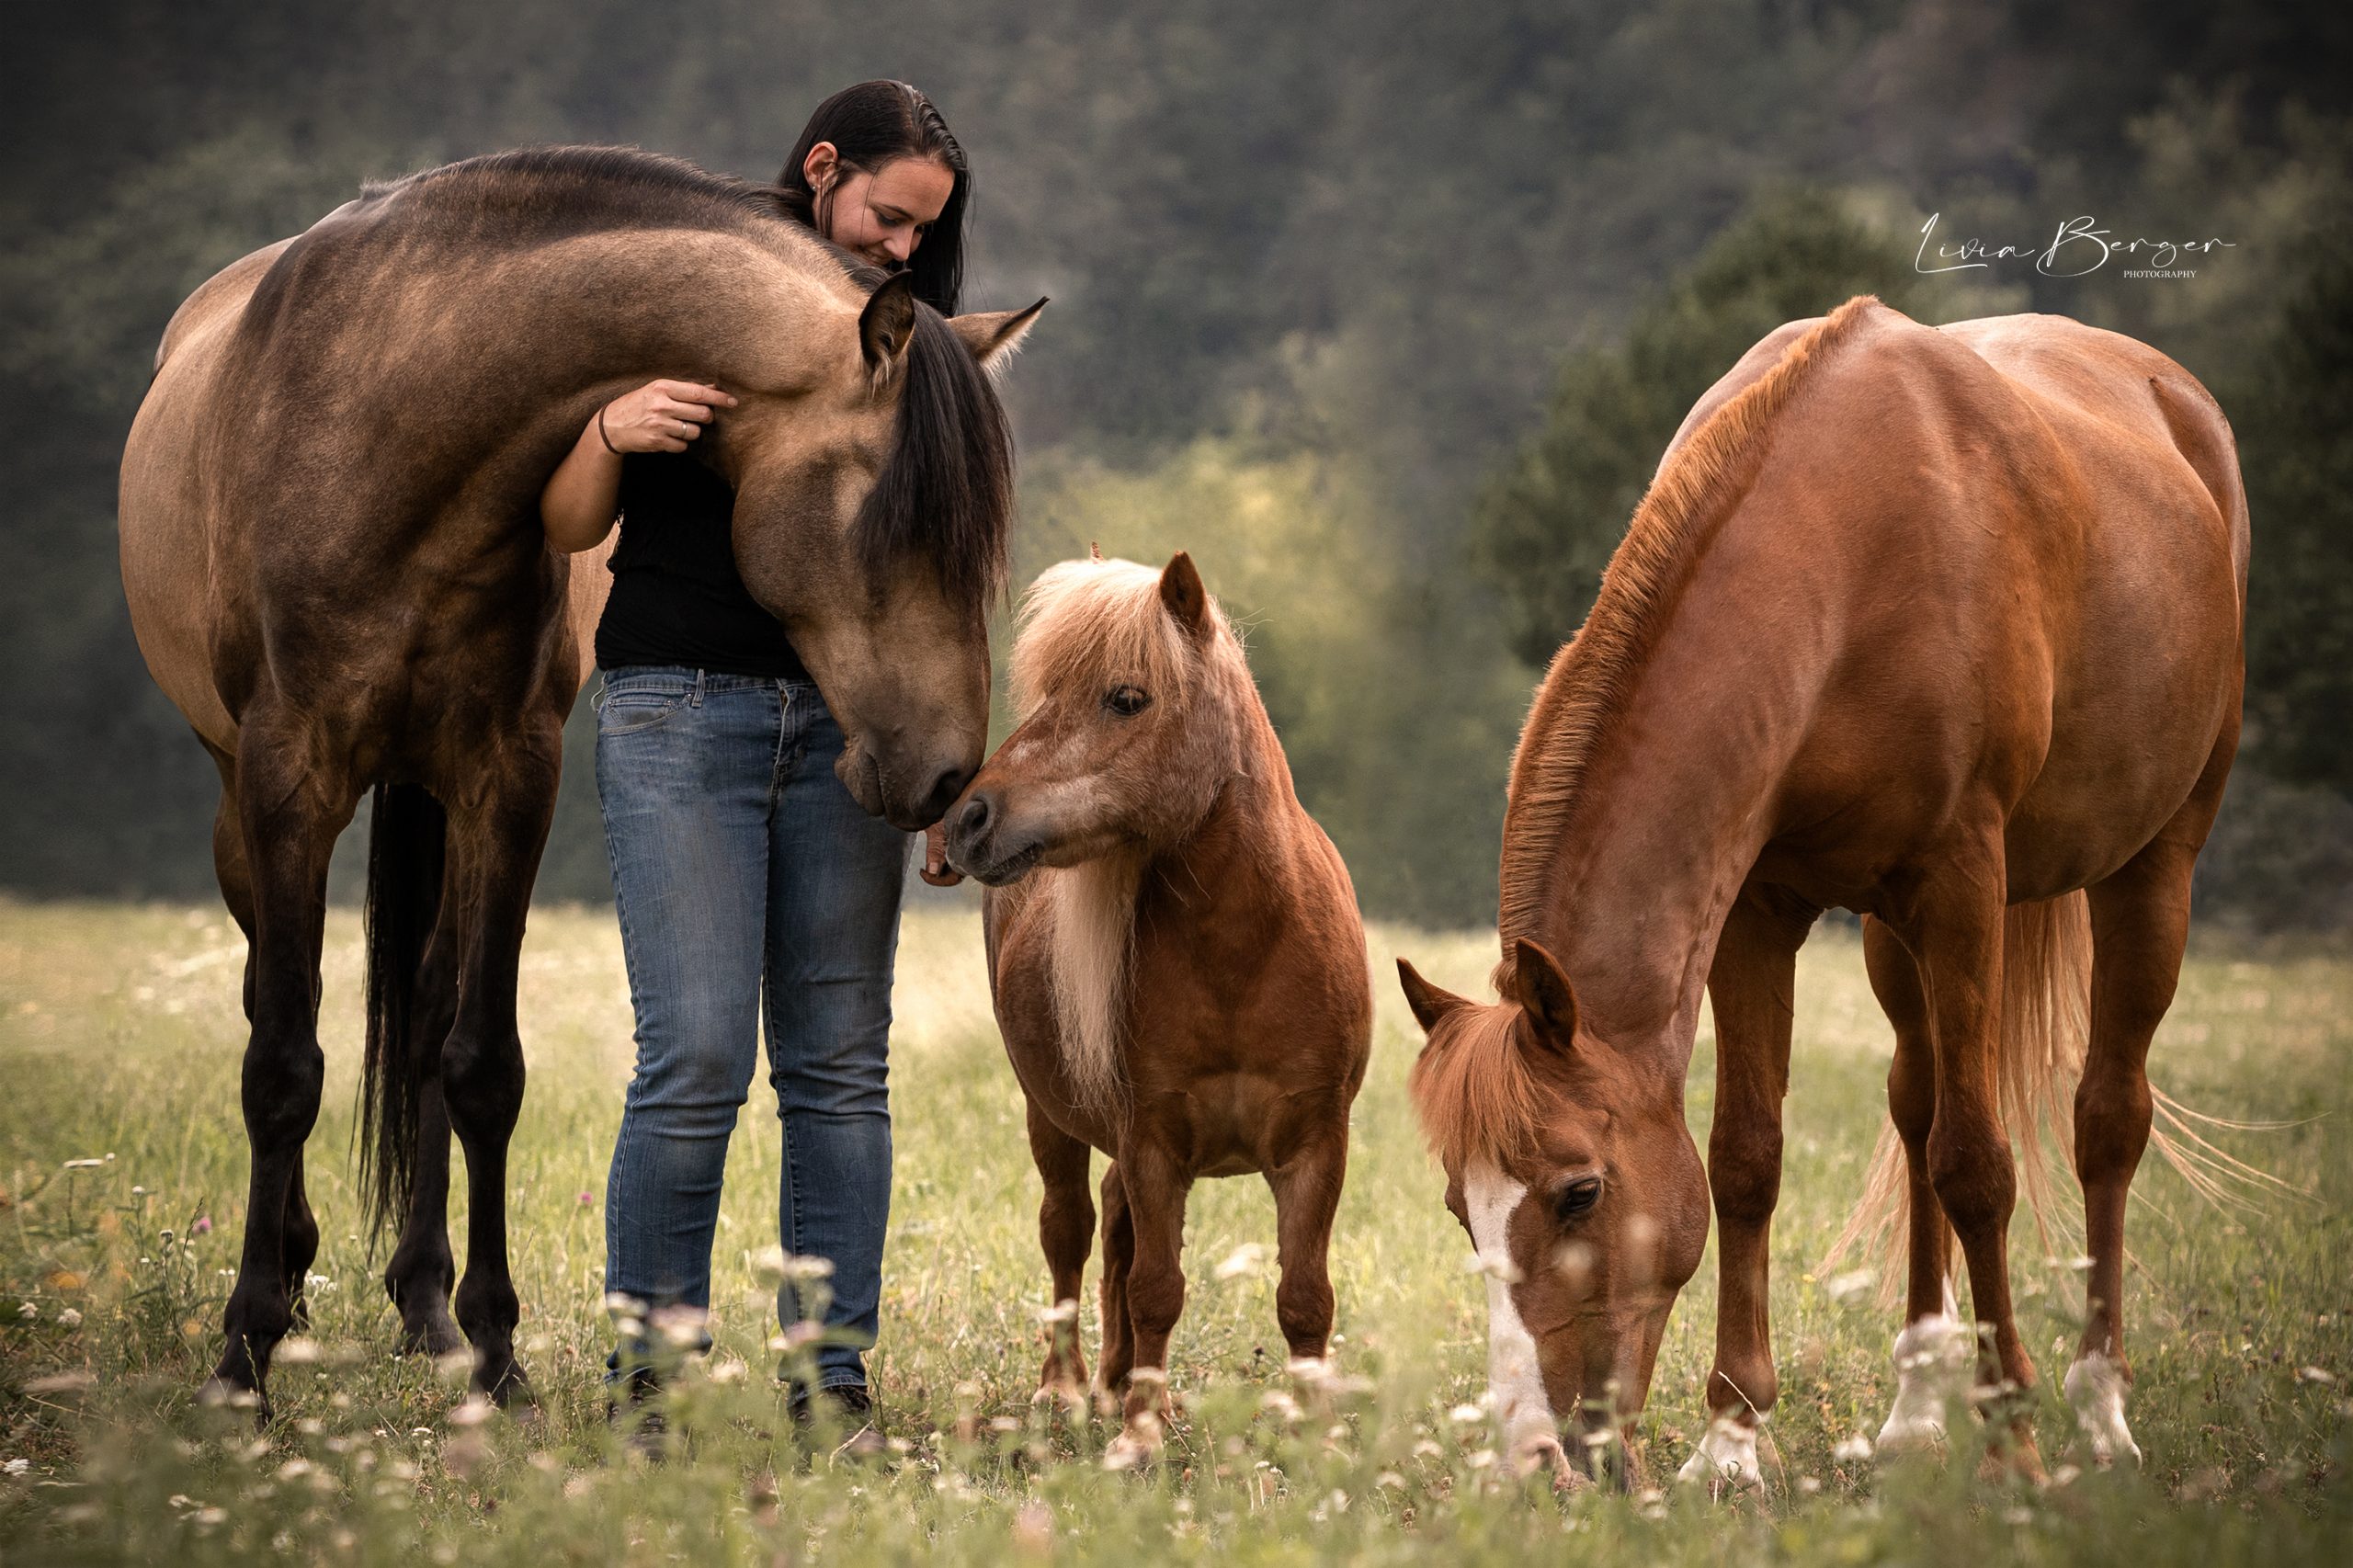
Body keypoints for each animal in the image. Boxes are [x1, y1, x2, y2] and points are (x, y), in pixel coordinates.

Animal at [119, 146, 1040, 1412]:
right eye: (891, 519)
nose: (951, 773)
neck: (392, 418)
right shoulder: (285, 775)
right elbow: (282, 1066)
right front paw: (245, 1355)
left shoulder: (510, 776)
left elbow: (479, 1063)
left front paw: (495, 1352)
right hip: (238, 809)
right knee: (277, 1002)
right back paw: (294, 1283)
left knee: (422, 1016)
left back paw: (422, 1305)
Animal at [941, 552, 1374, 1469]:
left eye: (1126, 697)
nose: (967, 818)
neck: (1244, 951)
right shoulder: (1154, 1144)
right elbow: (1157, 1290)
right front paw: (1140, 1436)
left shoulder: (1316, 1147)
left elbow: (1303, 1296)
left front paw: (1313, 1433)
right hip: (1050, 1120)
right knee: (1071, 1233)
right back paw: (1070, 1389)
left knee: (1111, 1227)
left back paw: (1111, 1383)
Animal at [1392, 296, 2240, 1487]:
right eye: (1458, 1206)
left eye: (1579, 1192)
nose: (1537, 1454)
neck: (1843, 553)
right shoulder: (1756, 910)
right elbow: (1747, 1157)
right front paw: (1732, 1440)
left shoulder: (1962, 882)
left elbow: (1977, 1165)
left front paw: (2015, 1444)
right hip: (1894, 935)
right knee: (1917, 1101)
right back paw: (1916, 1410)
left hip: (2150, 865)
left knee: (2103, 1120)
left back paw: (2096, 1409)